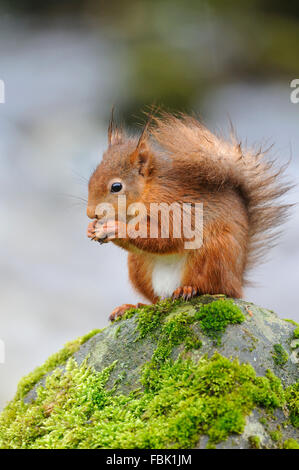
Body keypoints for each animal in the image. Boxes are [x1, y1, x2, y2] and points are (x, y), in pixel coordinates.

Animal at [86, 112, 290, 322]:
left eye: (116, 187)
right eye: (91, 179)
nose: (90, 213)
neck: (148, 191)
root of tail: (237, 281)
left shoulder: (174, 208)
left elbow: (165, 237)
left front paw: (115, 228)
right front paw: (93, 228)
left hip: (214, 254)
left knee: (213, 288)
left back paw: (187, 289)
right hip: (138, 266)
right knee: (157, 300)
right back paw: (132, 306)